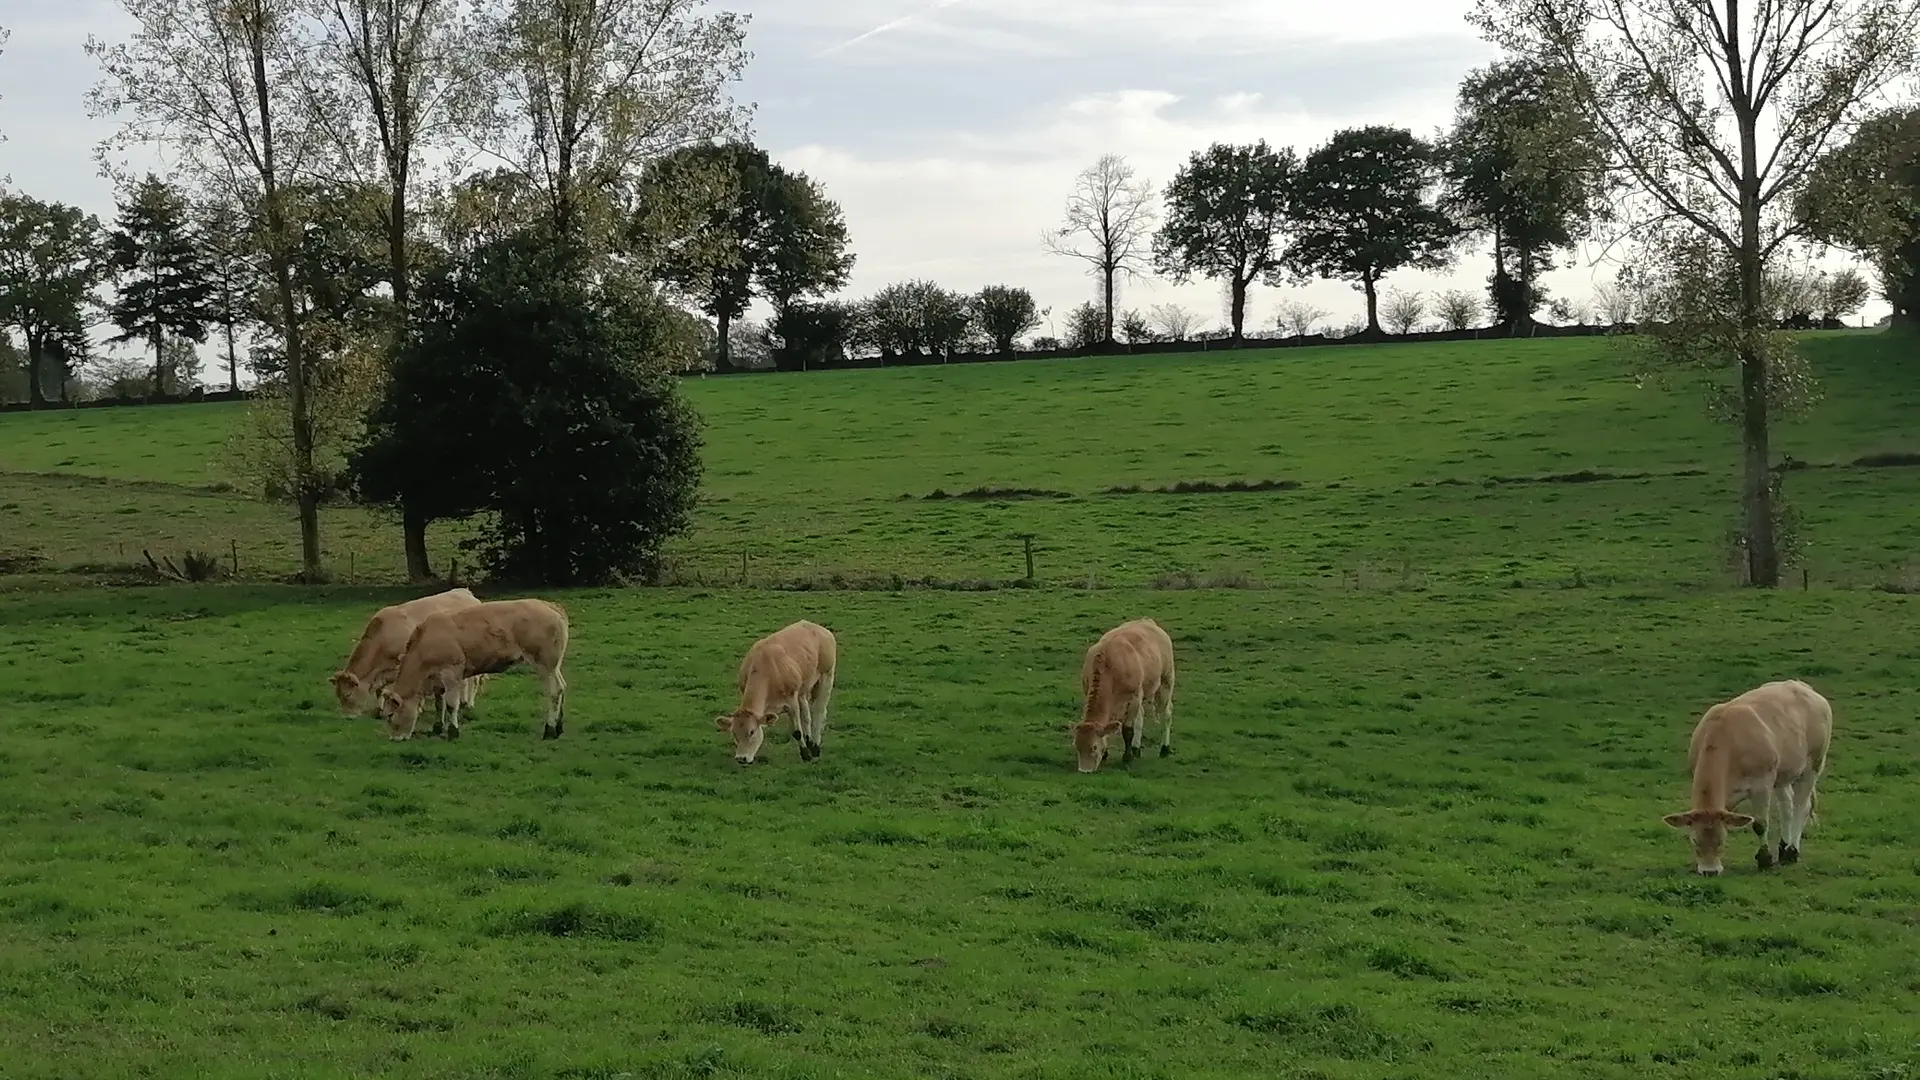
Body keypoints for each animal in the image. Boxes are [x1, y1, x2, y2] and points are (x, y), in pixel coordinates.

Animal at [328, 584, 487, 734]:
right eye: (338, 695)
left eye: (348, 694)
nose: (347, 717)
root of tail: (466, 592)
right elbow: (380, 690)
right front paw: (380, 710)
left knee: (474, 679)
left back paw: (469, 702)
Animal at [376, 595, 568, 737]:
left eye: (390, 715)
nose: (394, 739)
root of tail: (550, 606)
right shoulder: (437, 679)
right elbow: (439, 703)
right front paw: (437, 727)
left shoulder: (452, 673)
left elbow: (451, 704)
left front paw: (453, 731)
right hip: (554, 666)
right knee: (562, 687)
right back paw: (559, 726)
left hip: (545, 664)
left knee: (554, 691)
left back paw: (550, 729)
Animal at [718, 618, 837, 760]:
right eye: (734, 733)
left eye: (751, 732)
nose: (741, 758)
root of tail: (818, 628)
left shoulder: (791, 701)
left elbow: (797, 732)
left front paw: (806, 754)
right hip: (803, 687)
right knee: (807, 714)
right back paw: (809, 741)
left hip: (826, 675)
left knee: (819, 712)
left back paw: (815, 747)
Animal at [1075, 614, 1175, 772]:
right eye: (1077, 746)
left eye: (1094, 747)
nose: (1084, 770)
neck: (1108, 667)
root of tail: (1148, 621)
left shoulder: (1133, 698)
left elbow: (1127, 730)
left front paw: (1127, 757)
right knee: (1141, 717)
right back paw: (1136, 749)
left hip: (1166, 682)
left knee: (1167, 713)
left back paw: (1164, 749)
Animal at [1658, 680, 1835, 876]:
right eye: (1695, 841)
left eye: (1721, 841)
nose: (1710, 871)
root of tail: (1802, 686)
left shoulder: (1762, 784)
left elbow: (1760, 824)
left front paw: (1765, 859)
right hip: (1782, 773)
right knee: (1787, 806)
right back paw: (1783, 847)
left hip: (1814, 764)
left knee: (1801, 806)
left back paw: (1791, 851)